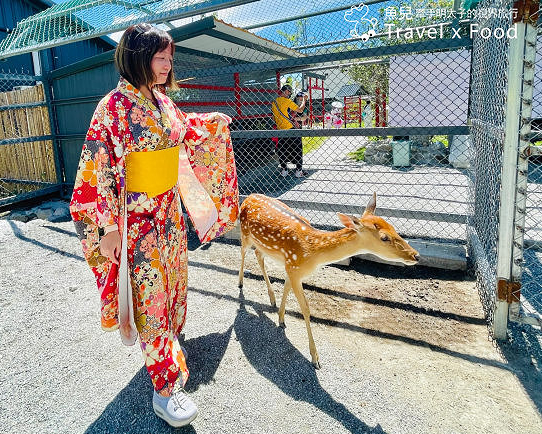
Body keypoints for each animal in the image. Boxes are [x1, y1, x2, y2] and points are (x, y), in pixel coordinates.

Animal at [238, 192, 420, 368]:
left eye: (394, 228)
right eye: (384, 237)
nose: (416, 255)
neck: (312, 252)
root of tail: (248, 197)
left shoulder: (291, 267)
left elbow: (286, 288)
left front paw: (281, 319)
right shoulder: (294, 268)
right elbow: (305, 309)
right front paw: (315, 358)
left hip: (260, 244)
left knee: (258, 254)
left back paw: (271, 299)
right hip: (244, 232)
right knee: (243, 252)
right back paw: (240, 284)